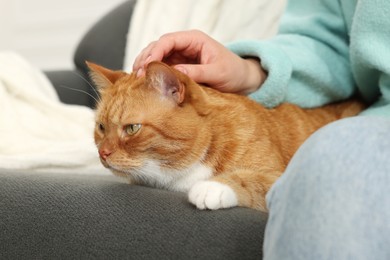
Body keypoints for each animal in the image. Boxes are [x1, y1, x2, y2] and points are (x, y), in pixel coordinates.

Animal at [87, 61, 364, 211]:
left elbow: (248, 179)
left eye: (132, 128)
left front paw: (214, 187)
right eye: (101, 127)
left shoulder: (281, 177)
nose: (102, 153)